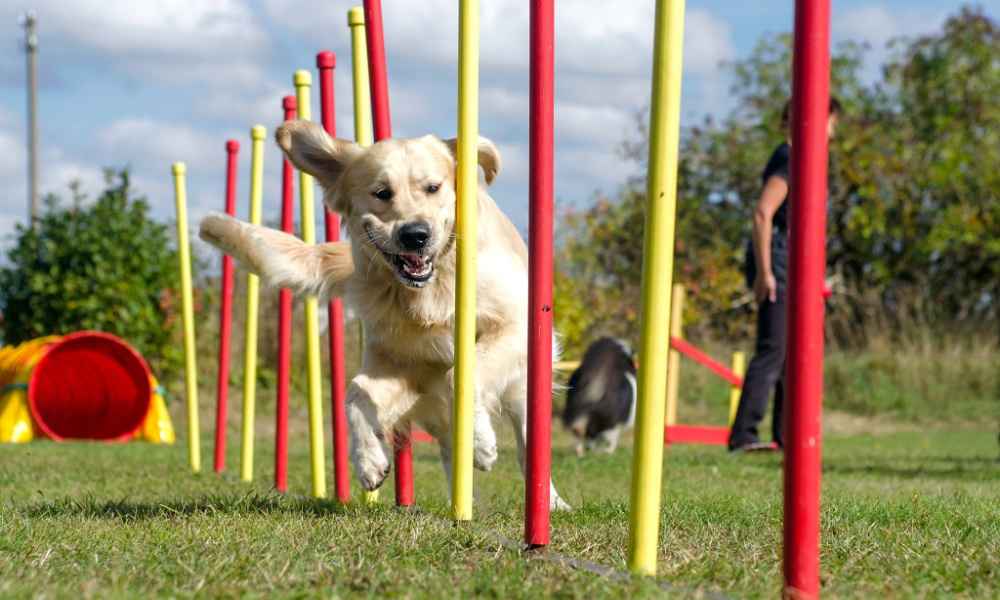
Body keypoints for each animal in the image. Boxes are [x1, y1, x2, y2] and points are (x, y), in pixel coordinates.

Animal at [199, 122, 572, 510]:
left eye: (433, 188)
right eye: (381, 193)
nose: (415, 235)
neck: (430, 291)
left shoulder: (515, 328)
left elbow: (462, 374)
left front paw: (480, 442)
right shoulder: (402, 364)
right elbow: (355, 393)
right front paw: (369, 460)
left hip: (524, 386)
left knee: (528, 443)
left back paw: (549, 502)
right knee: (445, 444)